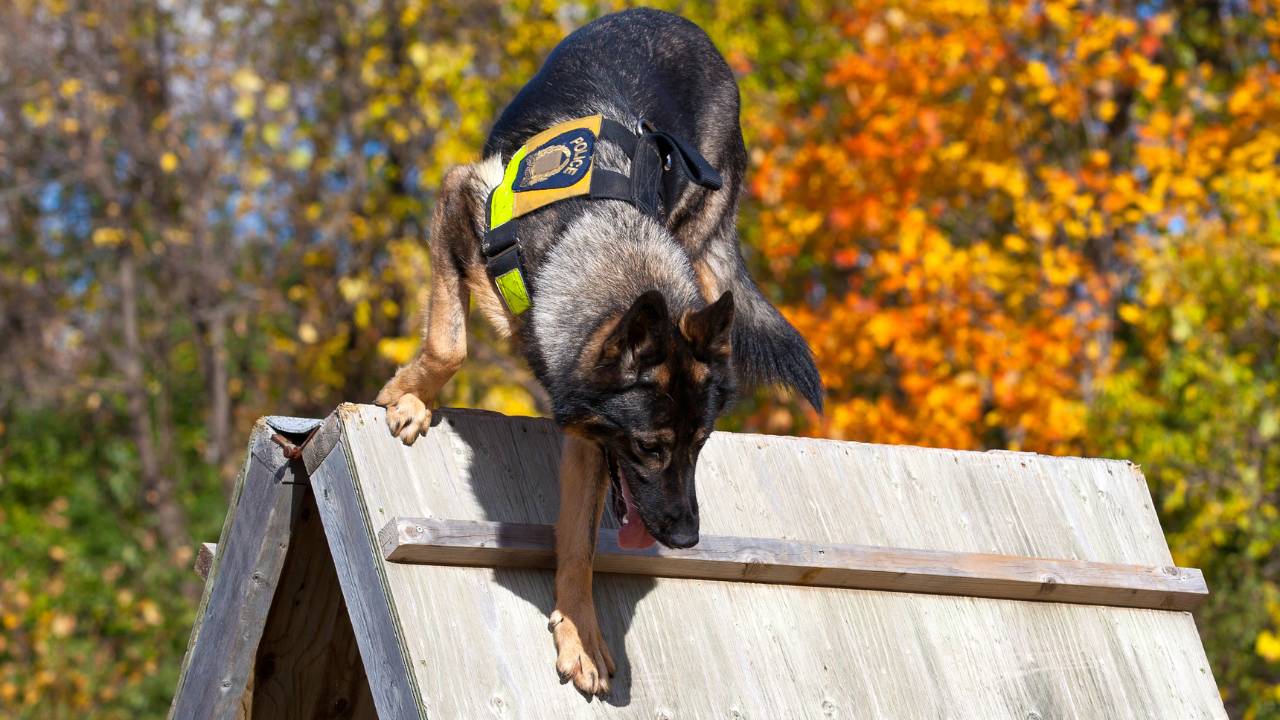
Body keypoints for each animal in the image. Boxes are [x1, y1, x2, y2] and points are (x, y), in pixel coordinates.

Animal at [373, 8, 824, 696]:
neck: (597, 237)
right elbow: (449, 342)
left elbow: (580, 542)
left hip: (701, 234)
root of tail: (684, 25)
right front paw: (410, 399)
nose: (687, 539)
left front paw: (579, 634)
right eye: (650, 448)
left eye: (700, 447)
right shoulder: (457, 197)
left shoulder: (589, 437)